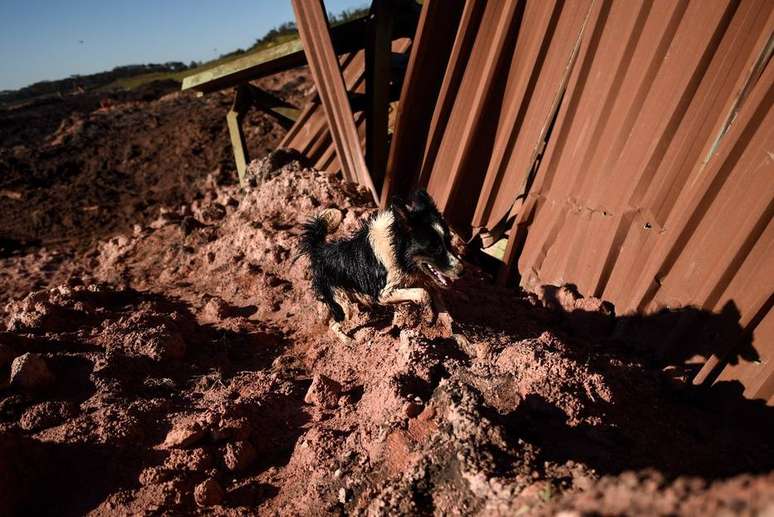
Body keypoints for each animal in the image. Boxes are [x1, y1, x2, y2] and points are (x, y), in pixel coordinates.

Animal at [300, 189, 464, 342]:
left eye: (449, 241)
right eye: (433, 248)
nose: (462, 271)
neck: (397, 250)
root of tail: (319, 250)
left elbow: (438, 303)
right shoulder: (383, 293)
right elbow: (423, 294)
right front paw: (428, 314)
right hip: (345, 305)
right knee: (334, 324)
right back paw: (348, 341)